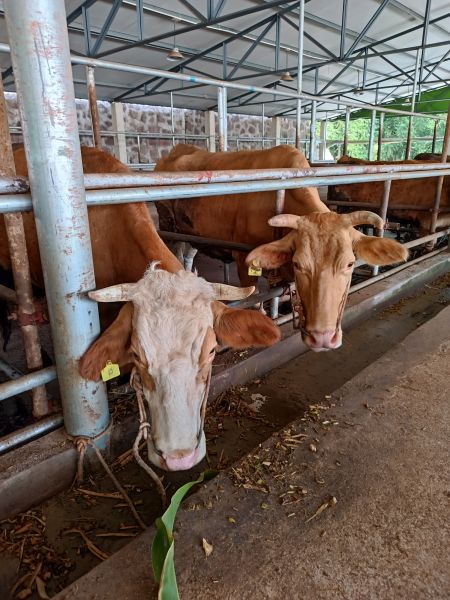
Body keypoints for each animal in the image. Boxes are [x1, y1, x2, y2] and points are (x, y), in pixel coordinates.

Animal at [155, 144, 408, 352]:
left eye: (350, 263)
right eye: (298, 263)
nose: (323, 338)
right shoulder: (243, 259)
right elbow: (255, 296)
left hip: (193, 235)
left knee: (189, 254)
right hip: (169, 229)